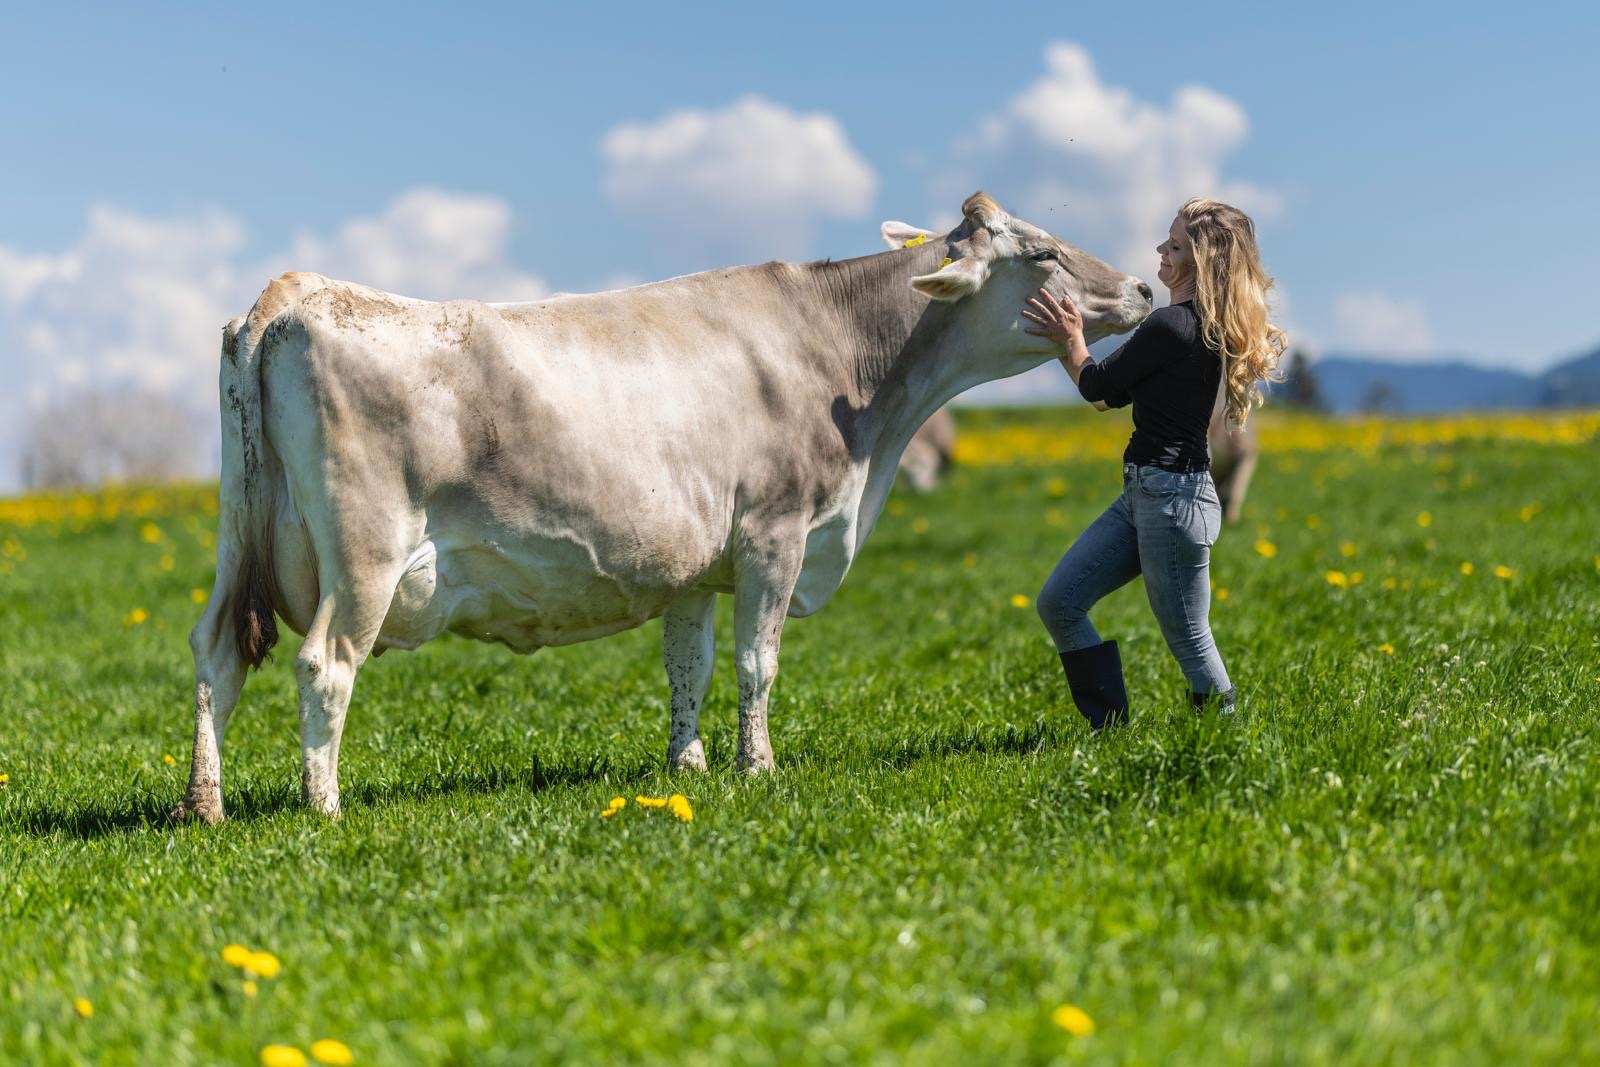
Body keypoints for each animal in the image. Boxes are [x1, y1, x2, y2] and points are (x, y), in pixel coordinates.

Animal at [171, 192, 1152, 823]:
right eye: (1045, 252)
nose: (1144, 288)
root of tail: (293, 293)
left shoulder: (694, 562)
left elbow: (692, 666)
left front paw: (689, 764)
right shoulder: (775, 532)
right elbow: (759, 663)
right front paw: (759, 768)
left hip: (234, 540)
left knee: (216, 653)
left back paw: (203, 805)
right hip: (366, 554)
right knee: (324, 664)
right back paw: (325, 806)